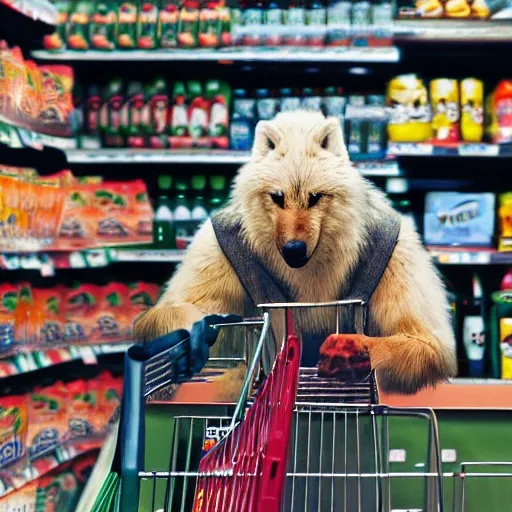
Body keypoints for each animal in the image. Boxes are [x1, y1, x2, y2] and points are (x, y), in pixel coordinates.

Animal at [136, 110, 456, 394]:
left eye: (315, 197)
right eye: (277, 197)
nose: (293, 249)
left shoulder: (400, 258)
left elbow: (416, 341)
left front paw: (352, 351)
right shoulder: (215, 248)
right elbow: (177, 311)